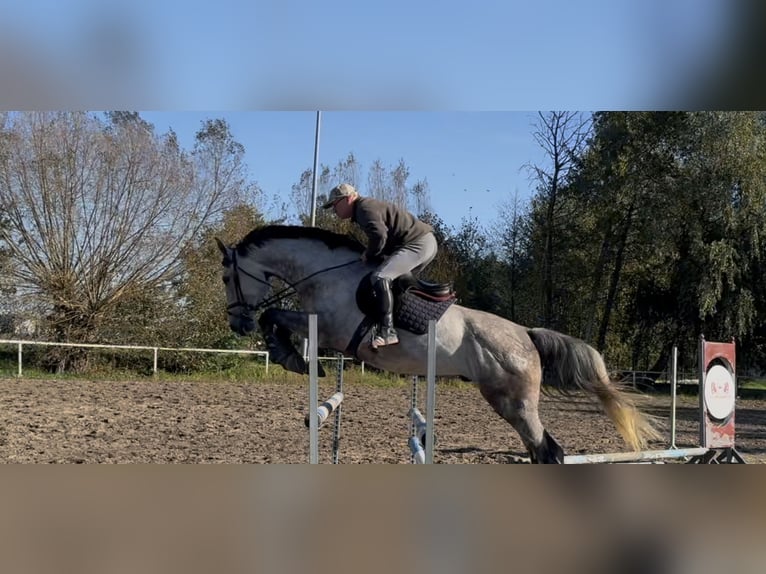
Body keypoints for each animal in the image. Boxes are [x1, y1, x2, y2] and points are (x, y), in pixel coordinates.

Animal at [216, 225, 660, 464]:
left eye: (225, 278)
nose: (238, 323)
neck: (325, 274)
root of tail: (527, 335)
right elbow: (277, 319)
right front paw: (288, 354)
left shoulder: (330, 330)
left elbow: (275, 317)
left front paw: (287, 355)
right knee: (541, 450)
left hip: (513, 402)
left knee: (547, 450)